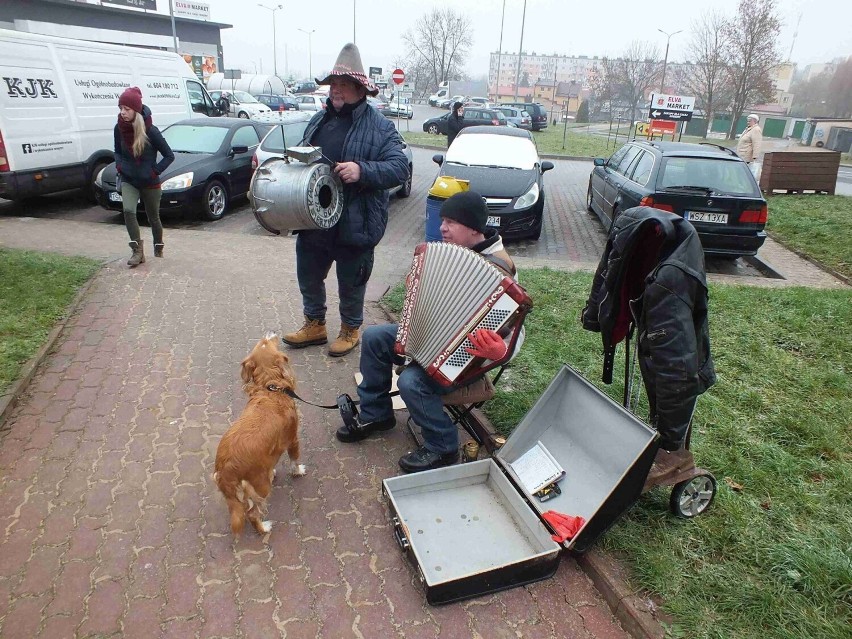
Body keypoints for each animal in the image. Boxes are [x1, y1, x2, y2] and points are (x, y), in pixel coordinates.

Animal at [215, 332, 304, 536]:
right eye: (266, 342)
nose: (271, 333)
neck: (270, 387)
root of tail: (226, 466)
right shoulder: (293, 439)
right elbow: (294, 459)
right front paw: (298, 471)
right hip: (260, 487)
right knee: (252, 513)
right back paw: (264, 528)